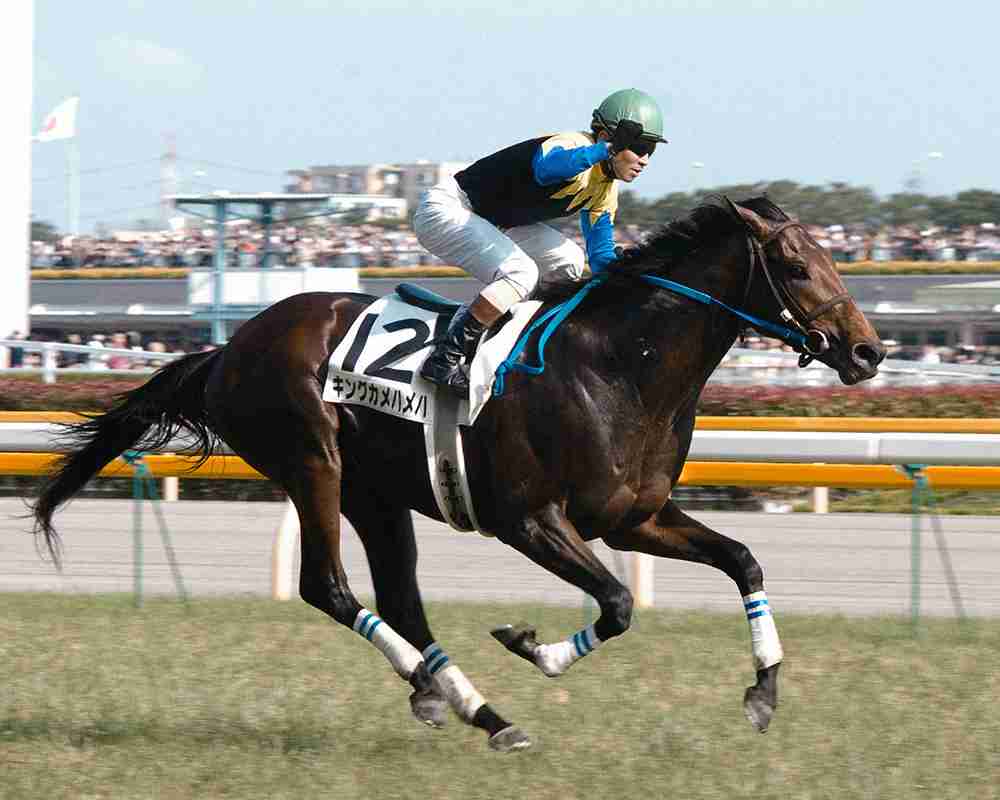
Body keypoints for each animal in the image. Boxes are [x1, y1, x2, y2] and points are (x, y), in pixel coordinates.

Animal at [32, 196, 885, 751]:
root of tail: (226, 349)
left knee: (401, 600)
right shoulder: (529, 519)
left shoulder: (632, 516)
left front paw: (764, 692)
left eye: (830, 256)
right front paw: (533, 646)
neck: (619, 364)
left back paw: (470, 707)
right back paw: (456, 696)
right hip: (312, 462)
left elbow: (742, 560)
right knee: (328, 588)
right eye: (795, 265)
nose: (868, 350)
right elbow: (615, 603)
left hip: (376, 494)